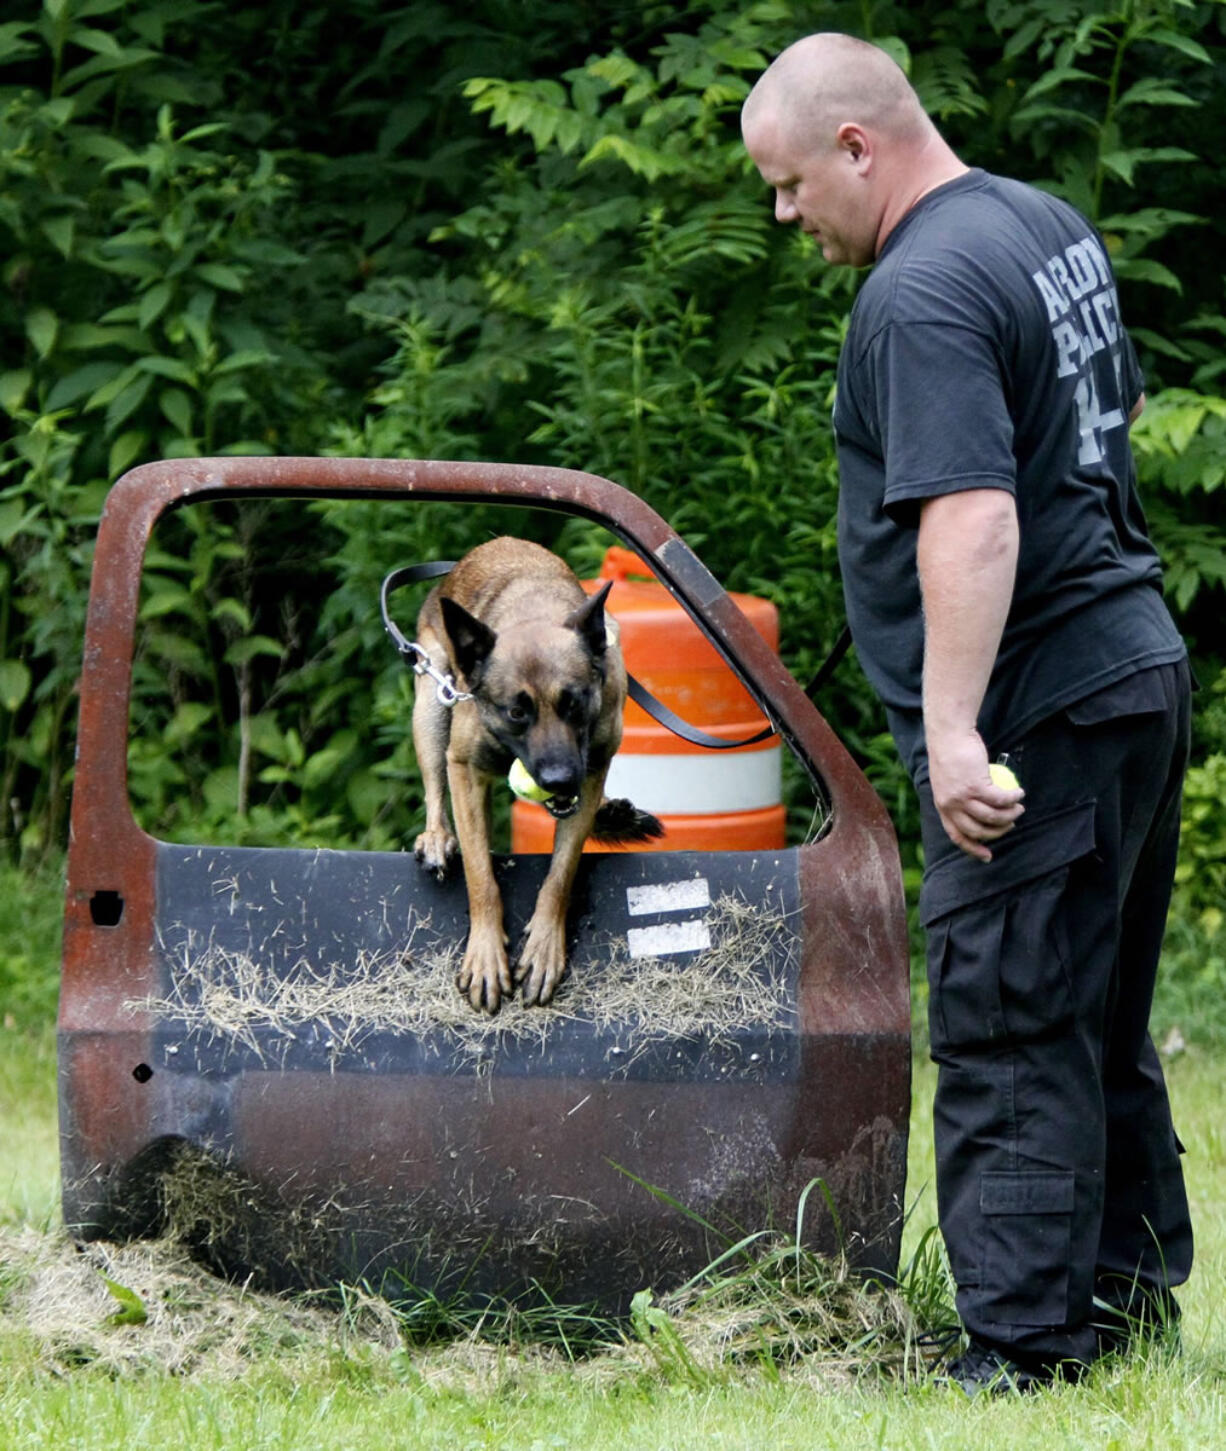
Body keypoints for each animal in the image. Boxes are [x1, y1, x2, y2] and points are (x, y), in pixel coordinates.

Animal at [412, 539, 658, 1015]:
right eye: (516, 712)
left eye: (573, 702)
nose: (559, 780)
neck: (533, 614)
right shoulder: (465, 771)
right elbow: (480, 876)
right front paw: (486, 956)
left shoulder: (592, 771)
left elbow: (560, 874)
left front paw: (544, 948)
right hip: (431, 697)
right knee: (434, 786)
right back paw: (436, 836)